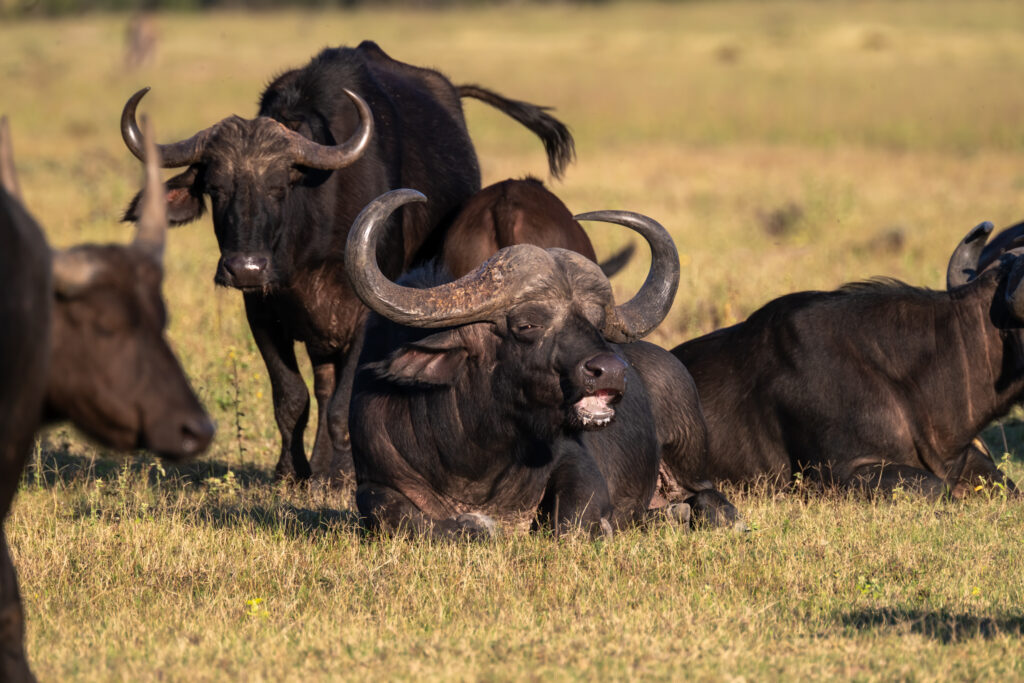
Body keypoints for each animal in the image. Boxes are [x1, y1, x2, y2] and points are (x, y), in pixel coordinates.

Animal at [119, 40, 577, 485]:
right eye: (216, 188)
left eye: (278, 186)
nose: (244, 268)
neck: (308, 247)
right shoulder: (262, 312)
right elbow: (292, 397)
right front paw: (292, 471)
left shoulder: (365, 312)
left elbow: (344, 400)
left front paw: (341, 474)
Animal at [344, 188, 737, 540]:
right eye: (528, 324)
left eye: (597, 323)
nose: (611, 371)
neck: (474, 454)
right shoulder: (373, 481)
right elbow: (404, 518)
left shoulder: (578, 463)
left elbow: (571, 525)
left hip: (689, 454)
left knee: (709, 497)